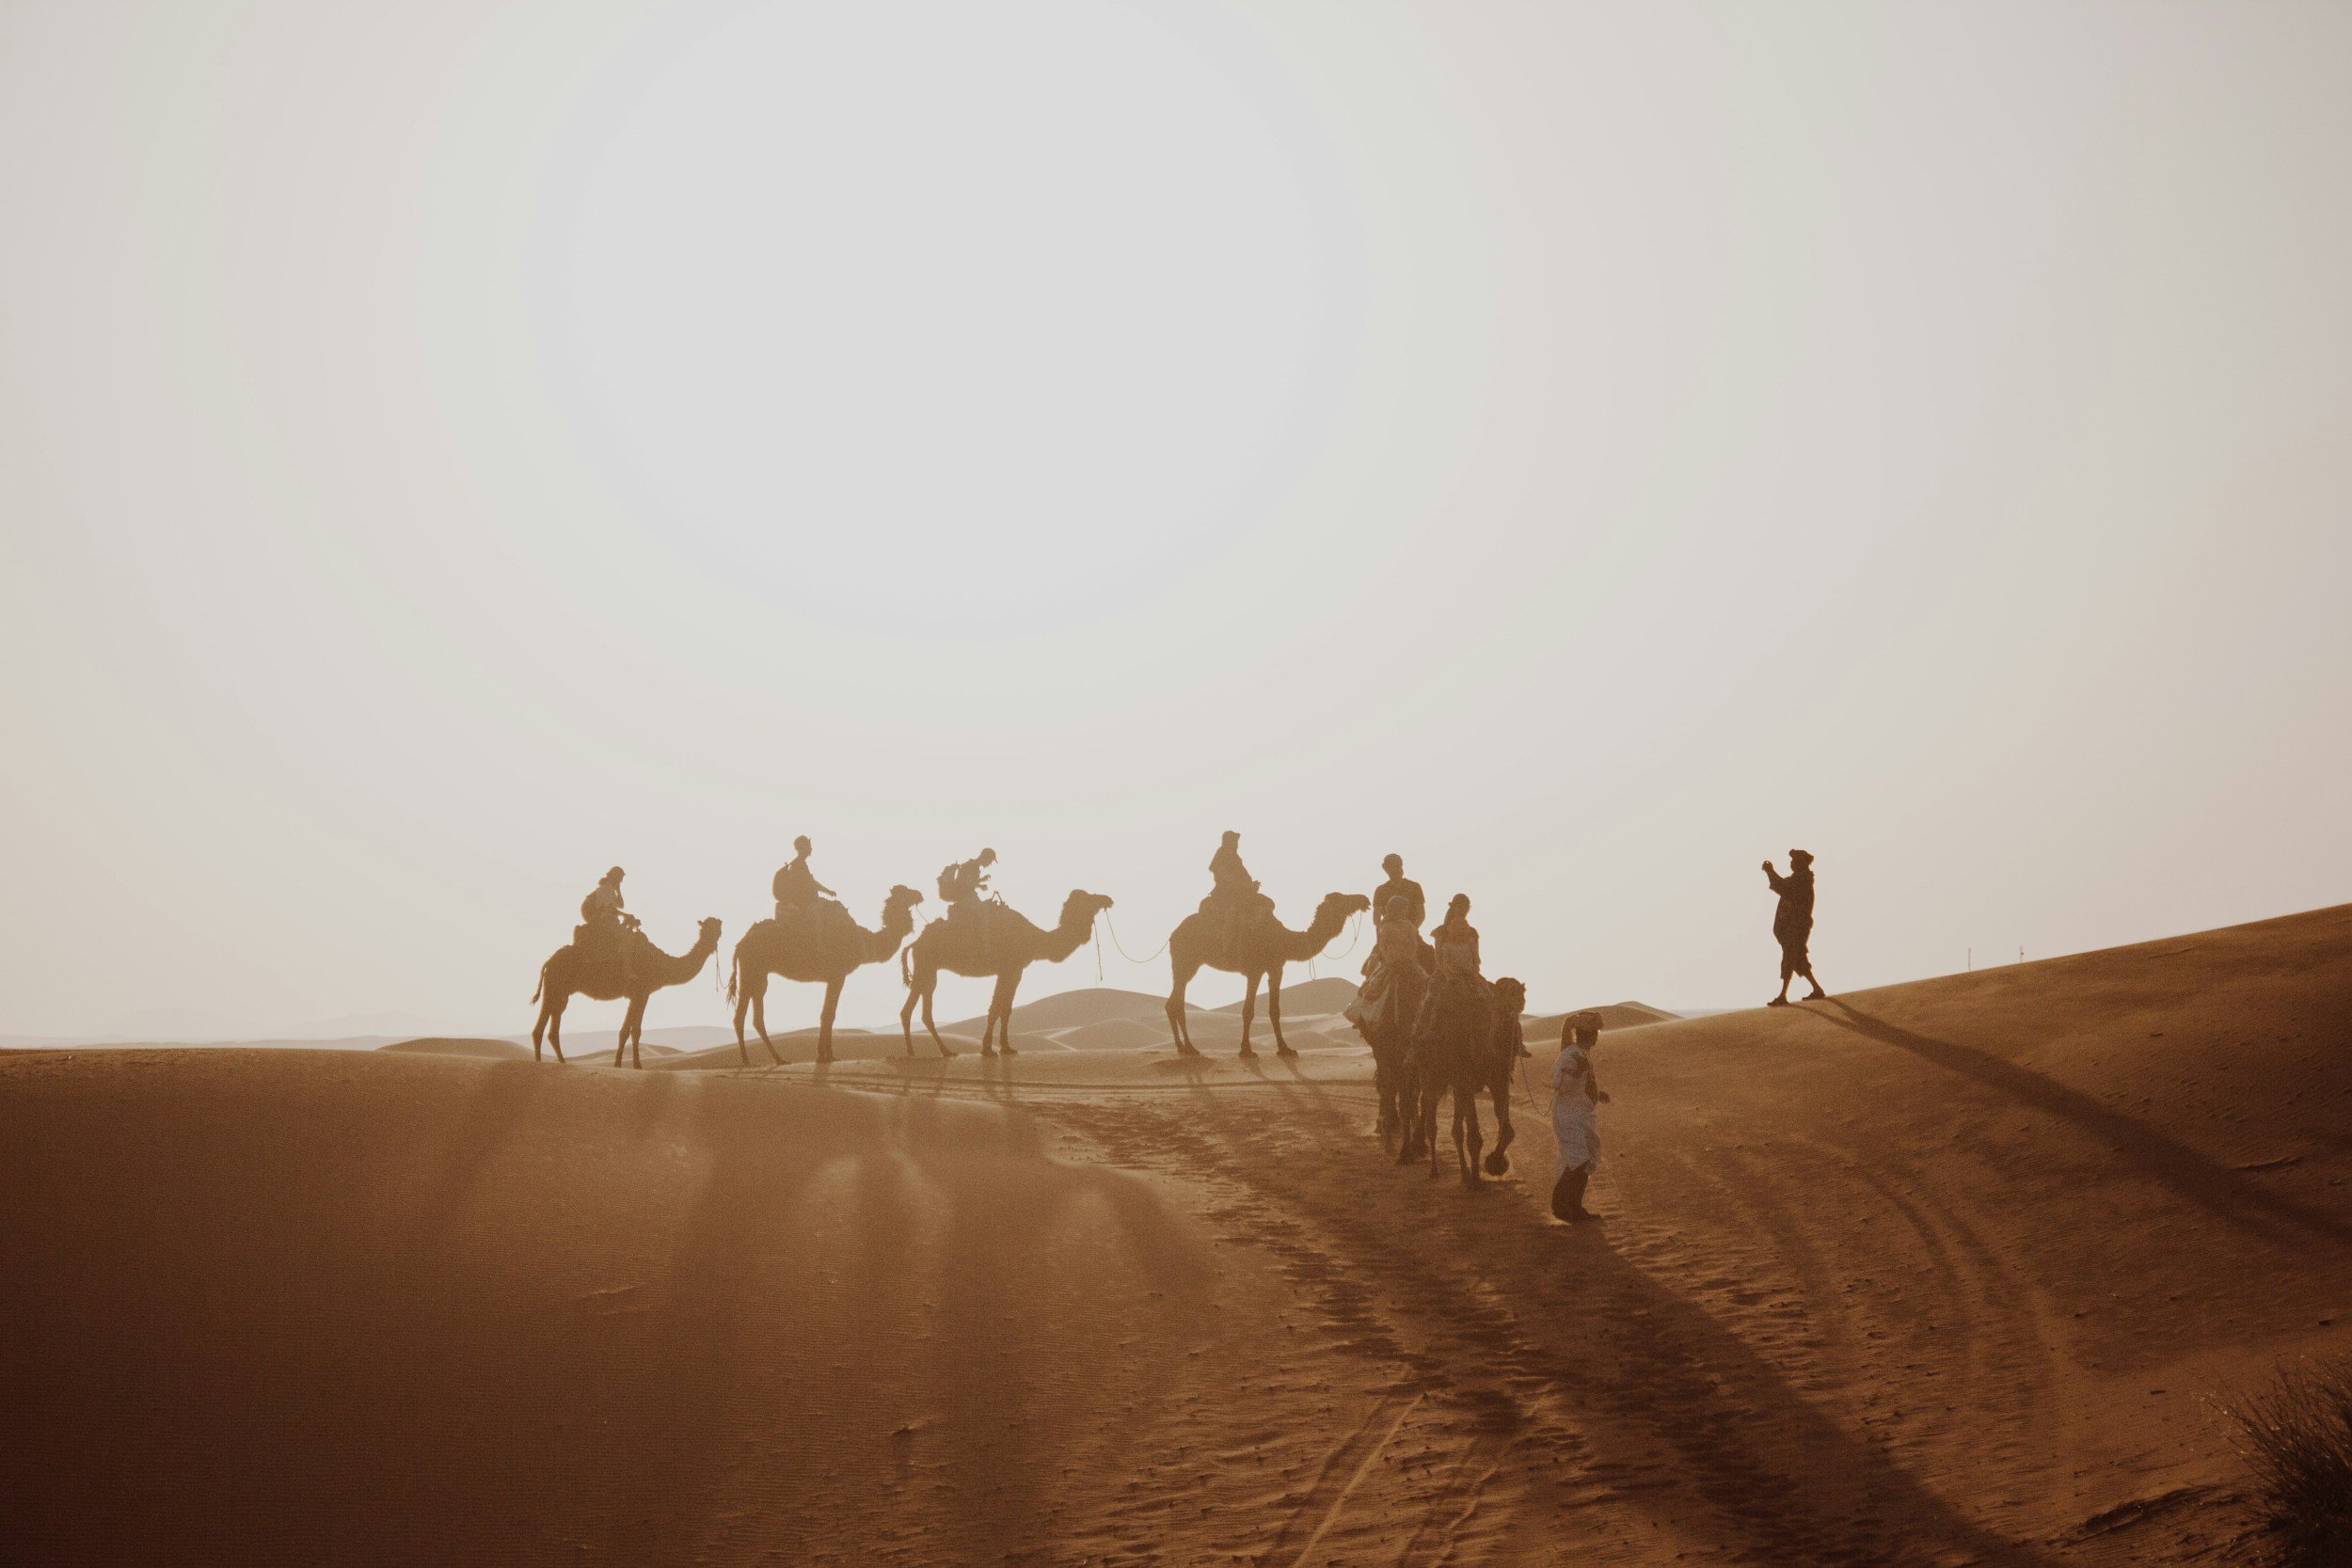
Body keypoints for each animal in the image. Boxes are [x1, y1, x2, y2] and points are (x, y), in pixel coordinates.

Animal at [530, 917, 723, 1069]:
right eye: (707, 929)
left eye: (718, 930)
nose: (712, 941)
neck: (660, 964)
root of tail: (548, 962)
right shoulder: (642, 993)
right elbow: (635, 1030)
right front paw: (636, 1065)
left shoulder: (636, 995)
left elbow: (626, 1030)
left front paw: (619, 1064)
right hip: (555, 987)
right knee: (542, 1027)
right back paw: (542, 1063)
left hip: (560, 992)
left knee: (551, 1026)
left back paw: (559, 1062)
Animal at [728, 886, 924, 1066]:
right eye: (905, 892)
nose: (920, 895)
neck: (863, 941)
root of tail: (741, 944)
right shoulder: (838, 975)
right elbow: (829, 1014)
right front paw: (824, 1055)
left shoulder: (833, 977)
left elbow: (827, 1013)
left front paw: (826, 1055)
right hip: (752, 969)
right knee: (744, 1015)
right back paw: (752, 1060)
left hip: (757, 973)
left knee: (752, 1016)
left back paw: (771, 1059)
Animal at [899, 891, 1115, 1058]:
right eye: (1089, 897)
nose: (1108, 899)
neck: (1035, 939)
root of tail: (915, 943)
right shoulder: (1008, 969)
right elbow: (995, 1008)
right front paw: (987, 1049)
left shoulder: (1015, 970)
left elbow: (1006, 1009)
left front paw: (1006, 1048)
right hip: (926, 966)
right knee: (915, 1010)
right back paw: (924, 1052)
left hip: (928, 970)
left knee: (918, 1011)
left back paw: (932, 1051)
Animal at [1164, 892, 1371, 1057]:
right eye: (1341, 898)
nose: (1364, 899)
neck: (1284, 940)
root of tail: (1173, 934)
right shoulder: (1255, 970)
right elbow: (1248, 1011)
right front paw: (1246, 1050)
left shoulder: (1276, 968)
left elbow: (1274, 1010)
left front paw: (1285, 1048)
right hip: (1186, 962)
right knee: (1177, 1003)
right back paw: (1189, 1048)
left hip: (1186, 965)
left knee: (1172, 1003)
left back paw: (1183, 1047)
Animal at [1410, 975, 1527, 1186]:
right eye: (1503, 992)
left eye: (1520, 992)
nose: (1516, 1005)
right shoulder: (1465, 1079)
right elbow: (1474, 1136)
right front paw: (1479, 1178)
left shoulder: (1498, 1078)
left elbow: (1507, 1131)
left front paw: (1495, 1164)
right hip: (1430, 1076)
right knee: (1432, 1122)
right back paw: (1435, 1170)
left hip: (1454, 1085)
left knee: (1456, 1128)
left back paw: (1465, 1173)